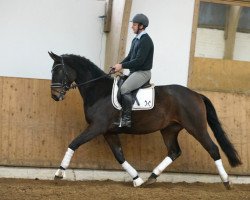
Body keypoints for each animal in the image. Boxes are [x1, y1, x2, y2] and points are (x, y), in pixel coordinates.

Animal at [47, 52, 241, 189]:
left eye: (59, 71)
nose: (55, 96)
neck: (98, 91)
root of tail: (196, 94)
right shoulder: (109, 131)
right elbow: (119, 156)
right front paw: (137, 179)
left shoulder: (97, 127)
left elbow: (74, 143)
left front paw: (59, 173)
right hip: (169, 129)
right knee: (174, 151)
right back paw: (151, 178)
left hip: (196, 128)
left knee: (213, 149)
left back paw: (227, 182)